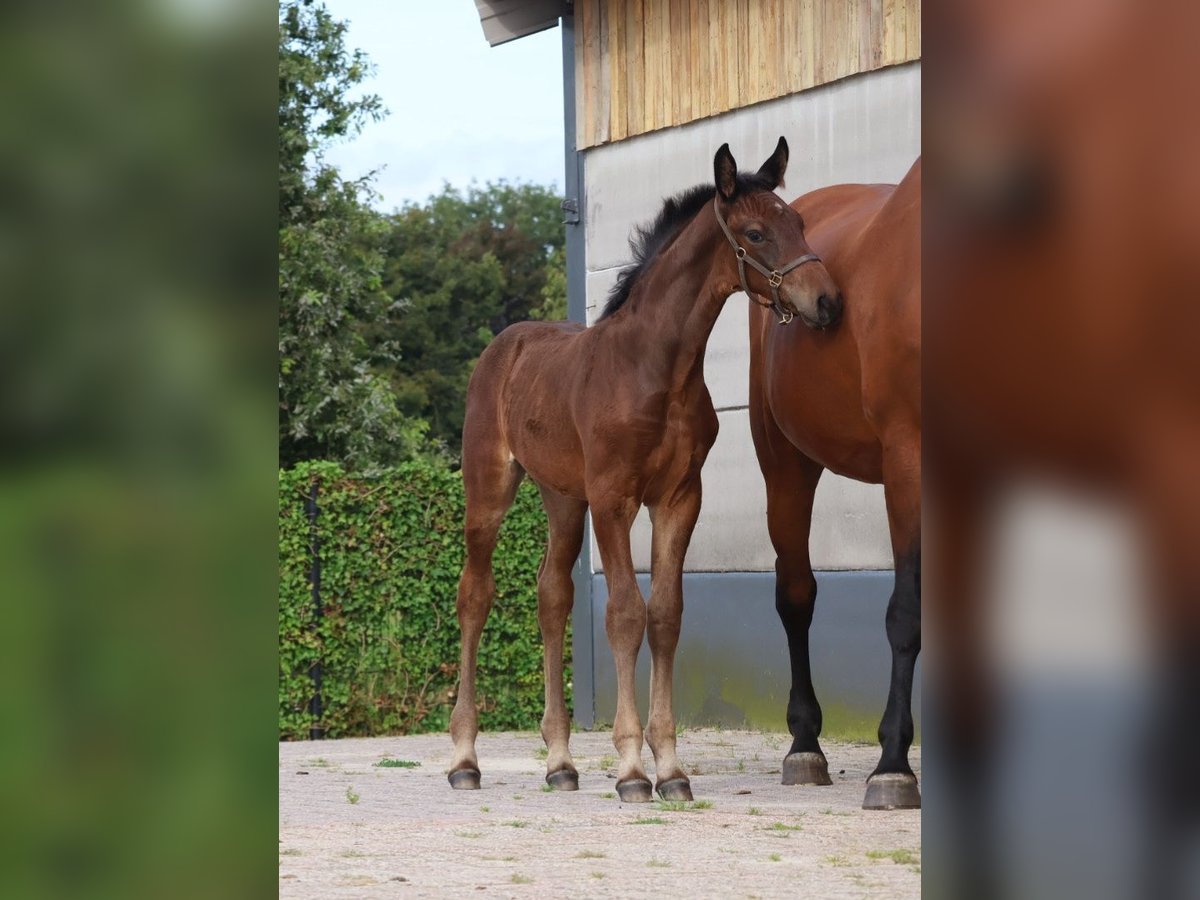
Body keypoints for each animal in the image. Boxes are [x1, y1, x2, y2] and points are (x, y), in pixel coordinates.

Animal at [446, 139, 840, 801]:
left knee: (552, 594)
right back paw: (465, 758)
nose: (827, 302)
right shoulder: (614, 498)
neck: (657, 369)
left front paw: (672, 770)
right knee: (475, 594)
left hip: (562, 497)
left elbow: (666, 615)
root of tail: (504, 346)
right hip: (491, 489)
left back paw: (560, 762)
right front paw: (632, 768)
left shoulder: (679, 498)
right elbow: (625, 613)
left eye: (802, 224)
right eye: (756, 233)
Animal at [744, 158, 921, 816]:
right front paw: (893, 764)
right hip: (785, 463)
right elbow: (905, 613)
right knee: (796, 595)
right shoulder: (908, 456)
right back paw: (804, 746)